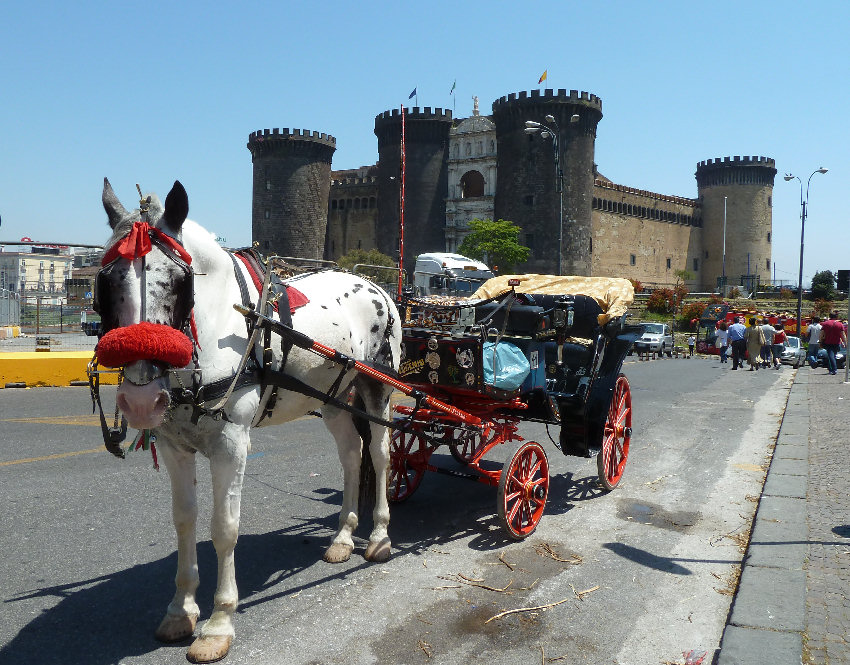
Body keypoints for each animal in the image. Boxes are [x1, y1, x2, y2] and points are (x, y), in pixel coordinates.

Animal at [94, 179, 400, 660]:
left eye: (179, 283)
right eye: (107, 281)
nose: (140, 399)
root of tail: (375, 284)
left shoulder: (231, 444)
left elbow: (224, 528)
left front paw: (219, 622)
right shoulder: (174, 446)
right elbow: (184, 521)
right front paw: (181, 610)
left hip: (376, 389)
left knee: (382, 455)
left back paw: (381, 536)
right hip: (335, 397)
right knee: (352, 455)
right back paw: (343, 536)